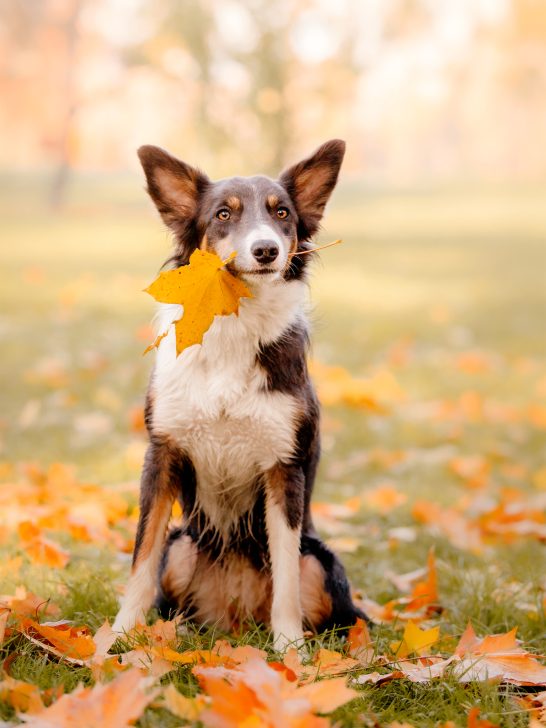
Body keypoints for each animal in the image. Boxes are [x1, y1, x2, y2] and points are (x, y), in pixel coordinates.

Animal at [112, 138, 364, 648]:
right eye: (223, 214)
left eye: (282, 212)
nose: (266, 249)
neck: (235, 319)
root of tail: (235, 622)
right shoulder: (162, 453)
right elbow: (141, 558)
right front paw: (116, 639)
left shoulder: (284, 468)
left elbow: (285, 575)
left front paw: (289, 651)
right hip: (182, 546)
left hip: (320, 562)